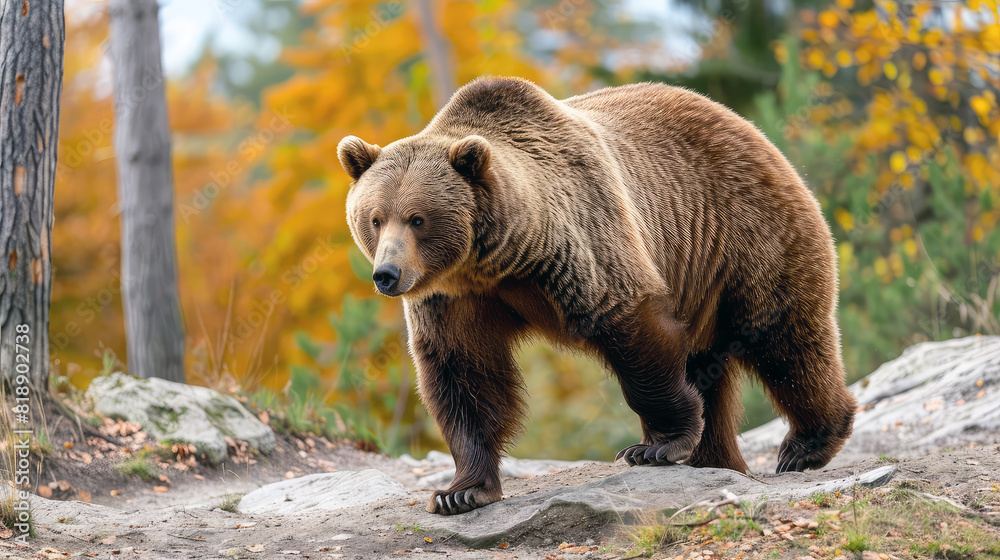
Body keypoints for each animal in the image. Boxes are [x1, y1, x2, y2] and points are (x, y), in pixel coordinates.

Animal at [340, 76, 856, 516]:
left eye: (417, 218)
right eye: (374, 218)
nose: (387, 274)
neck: (500, 259)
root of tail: (750, 128)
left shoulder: (580, 241)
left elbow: (630, 325)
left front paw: (656, 445)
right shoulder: (455, 298)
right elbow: (463, 372)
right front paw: (460, 491)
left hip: (743, 232)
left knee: (783, 336)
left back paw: (806, 444)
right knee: (717, 363)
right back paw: (718, 459)